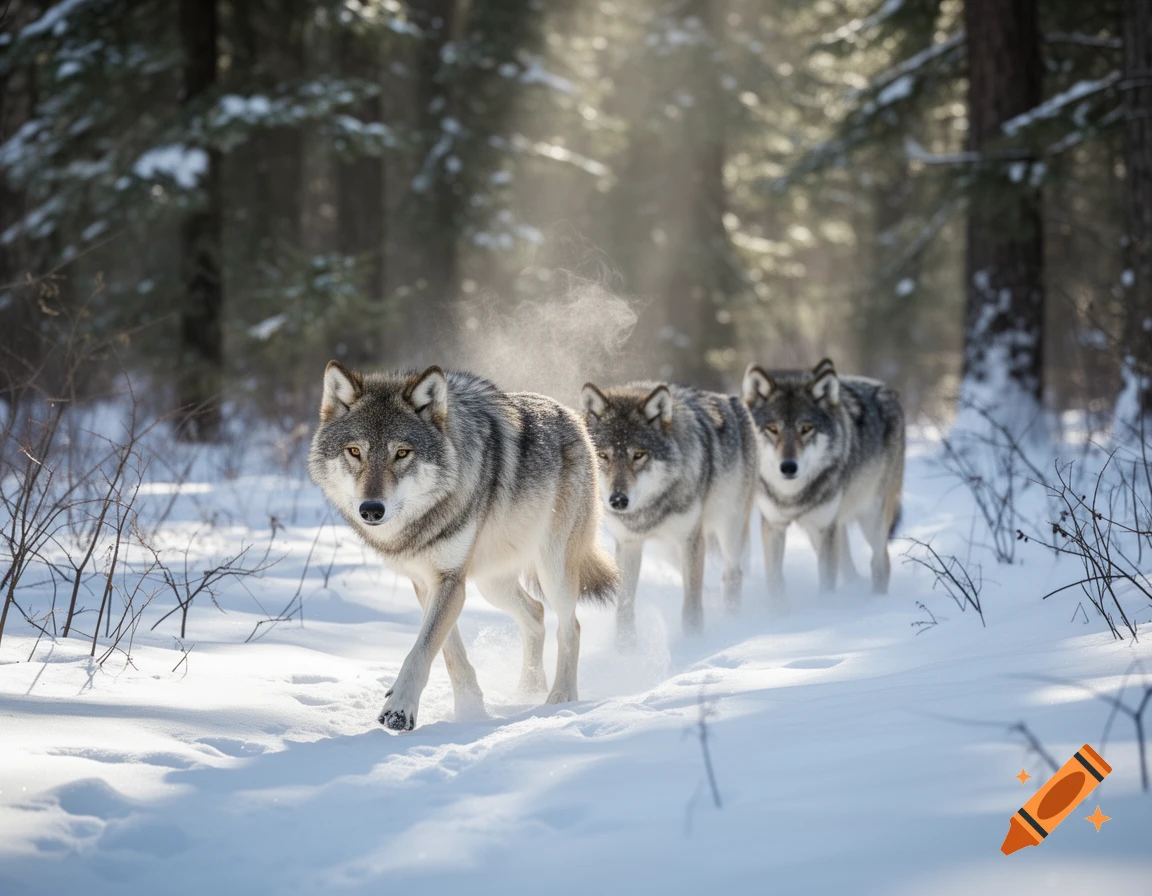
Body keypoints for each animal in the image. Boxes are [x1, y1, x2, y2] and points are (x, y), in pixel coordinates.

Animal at [309, 362, 618, 731]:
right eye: (355, 451)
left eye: (402, 453)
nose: (371, 509)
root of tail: (572, 416)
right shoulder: (429, 583)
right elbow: (448, 652)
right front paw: (470, 709)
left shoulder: (451, 580)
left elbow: (422, 649)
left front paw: (399, 710)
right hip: (492, 584)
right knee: (536, 613)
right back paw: (527, 691)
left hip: (552, 569)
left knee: (571, 627)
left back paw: (560, 698)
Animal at [580, 380, 758, 641]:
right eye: (603, 455)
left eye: (638, 455)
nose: (618, 500)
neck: (650, 508)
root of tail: (735, 400)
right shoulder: (629, 543)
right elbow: (624, 605)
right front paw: (626, 647)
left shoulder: (691, 540)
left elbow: (691, 603)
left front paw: (693, 642)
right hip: (670, 551)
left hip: (728, 528)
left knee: (733, 573)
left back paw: (732, 620)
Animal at [742, 358, 904, 600]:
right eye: (772, 429)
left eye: (806, 428)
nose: (788, 467)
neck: (791, 495)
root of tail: (887, 389)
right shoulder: (774, 525)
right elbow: (775, 582)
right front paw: (778, 609)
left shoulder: (824, 528)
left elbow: (827, 582)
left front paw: (824, 606)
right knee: (849, 566)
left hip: (871, 517)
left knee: (880, 562)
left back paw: (877, 601)